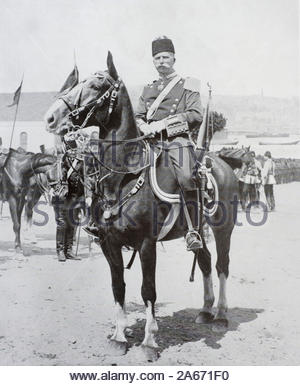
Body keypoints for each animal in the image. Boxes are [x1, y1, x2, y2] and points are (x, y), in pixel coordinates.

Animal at [43, 52, 238, 358]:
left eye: (96, 85)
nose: (51, 117)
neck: (125, 175)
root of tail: (223, 163)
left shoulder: (146, 243)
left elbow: (148, 290)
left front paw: (149, 341)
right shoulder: (108, 243)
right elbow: (118, 287)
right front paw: (119, 336)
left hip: (223, 229)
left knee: (222, 266)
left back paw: (220, 315)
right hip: (198, 230)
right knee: (205, 261)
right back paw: (205, 311)